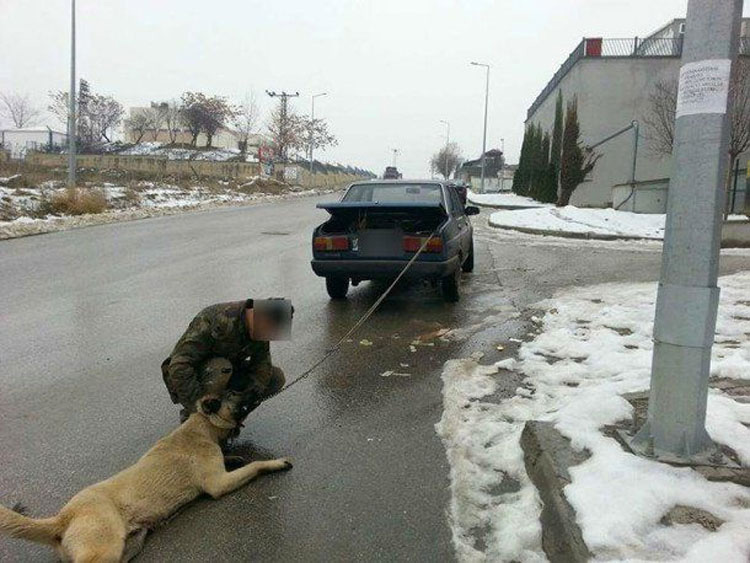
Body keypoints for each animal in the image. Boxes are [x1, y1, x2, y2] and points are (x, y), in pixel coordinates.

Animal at [0, 392, 292, 563]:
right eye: (235, 392)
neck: (201, 426)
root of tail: (63, 517)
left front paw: (233, 457)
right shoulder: (218, 484)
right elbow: (255, 466)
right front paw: (274, 463)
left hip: (128, 546)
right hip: (104, 549)